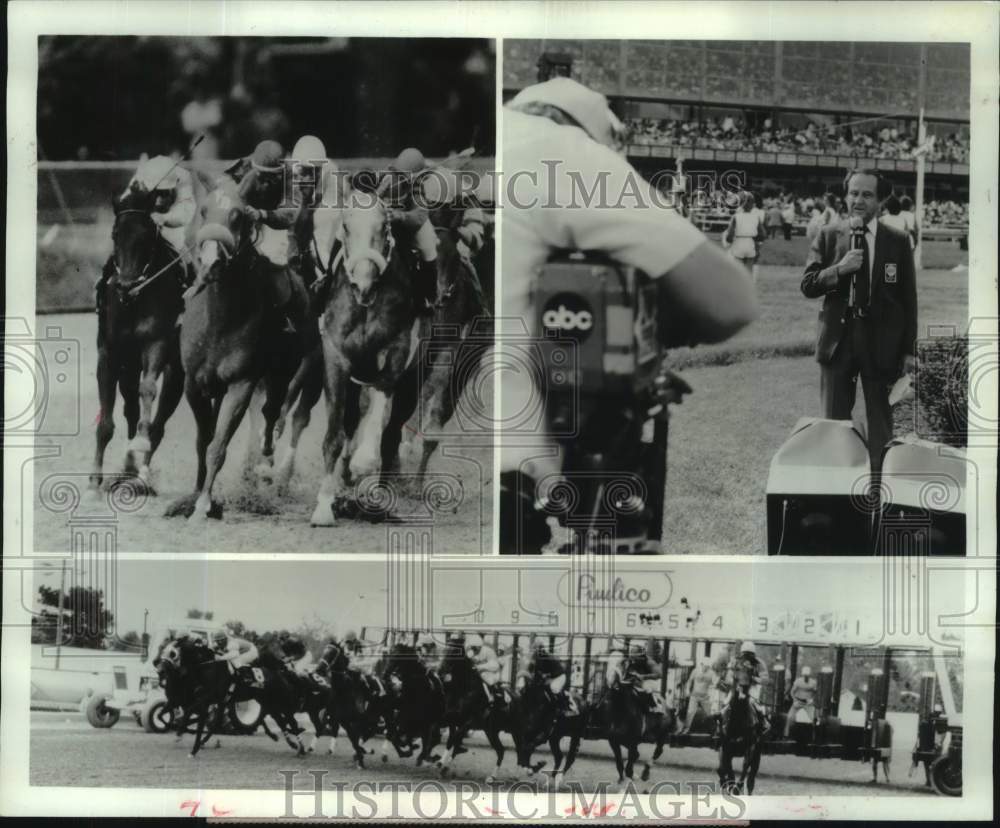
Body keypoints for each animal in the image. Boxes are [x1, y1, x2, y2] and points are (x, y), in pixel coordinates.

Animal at [89, 183, 187, 498]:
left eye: (147, 235)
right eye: (115, 234)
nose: (126, 285)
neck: (133, 301)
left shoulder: (156, 344)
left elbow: (148, 390)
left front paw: (140, 449)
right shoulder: (109, 353)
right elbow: (107, 421)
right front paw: (94, 480)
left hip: (176, 372)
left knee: (159, 419)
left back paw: (140, 469)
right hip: (127, 367)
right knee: (130, 407)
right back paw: (128, 467)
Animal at [170, 178, 308, 520]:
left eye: (237, 216)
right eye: (204, 211)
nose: (211, 263)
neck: (220, 319)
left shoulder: (241, 384)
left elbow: (218, 445)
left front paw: (204, 505)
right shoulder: (193, 383)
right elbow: (203, 441)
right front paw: (196, 495)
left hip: (282, 372)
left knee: (273, 412)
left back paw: (265, 460)